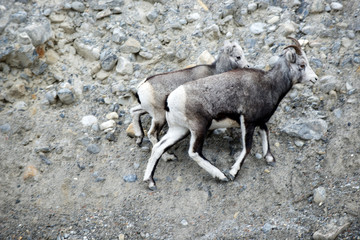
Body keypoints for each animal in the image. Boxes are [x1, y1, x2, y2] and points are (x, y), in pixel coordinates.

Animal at [143, 37, 318, 190]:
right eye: (302, 65)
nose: (315, 79)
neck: (269, 84)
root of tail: (170, 100)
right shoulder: (247, 121)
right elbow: (247, 148)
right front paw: (233, 173)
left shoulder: (260, 121)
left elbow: (265, 133)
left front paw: (269, 158)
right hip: (199, 128)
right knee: (193, 152)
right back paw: (221, 176)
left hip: (179, 130)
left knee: (158, 148)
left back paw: (150, 181)